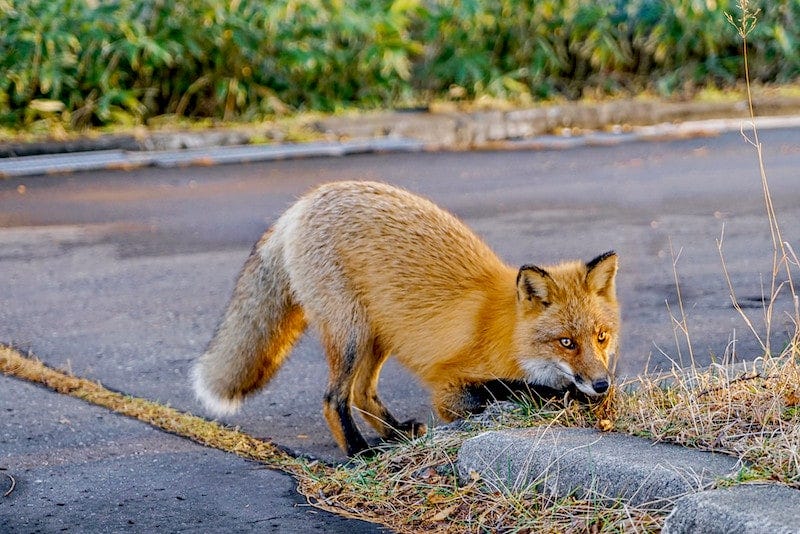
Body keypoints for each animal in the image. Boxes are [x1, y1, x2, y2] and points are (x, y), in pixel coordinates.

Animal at [192, 180, 620, 456]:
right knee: (334, 399)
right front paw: (559, 395)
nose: (601, 384)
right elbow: (514, 390)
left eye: (601, 337)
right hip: (351, 334)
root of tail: (304, 201)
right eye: (566, 342)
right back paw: (360, 452)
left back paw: (395, 433)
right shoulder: (451, 390)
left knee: (362, 394)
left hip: (378, 335)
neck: (508, 334)